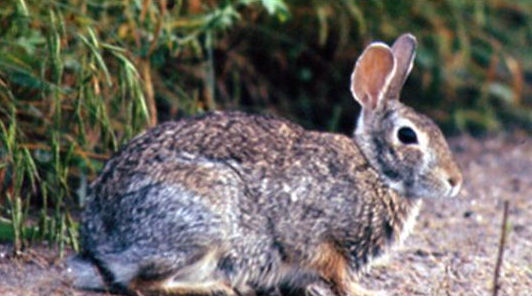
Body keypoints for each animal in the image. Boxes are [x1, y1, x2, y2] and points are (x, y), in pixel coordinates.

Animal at [66, 33, 462, 296]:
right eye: (408, 136)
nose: (455, 182)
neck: (375, 169)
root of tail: (98, 243)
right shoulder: (317, 237)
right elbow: (335, 273)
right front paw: (366, 293)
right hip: (202, 222)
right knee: (142, 283)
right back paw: (217, 288)